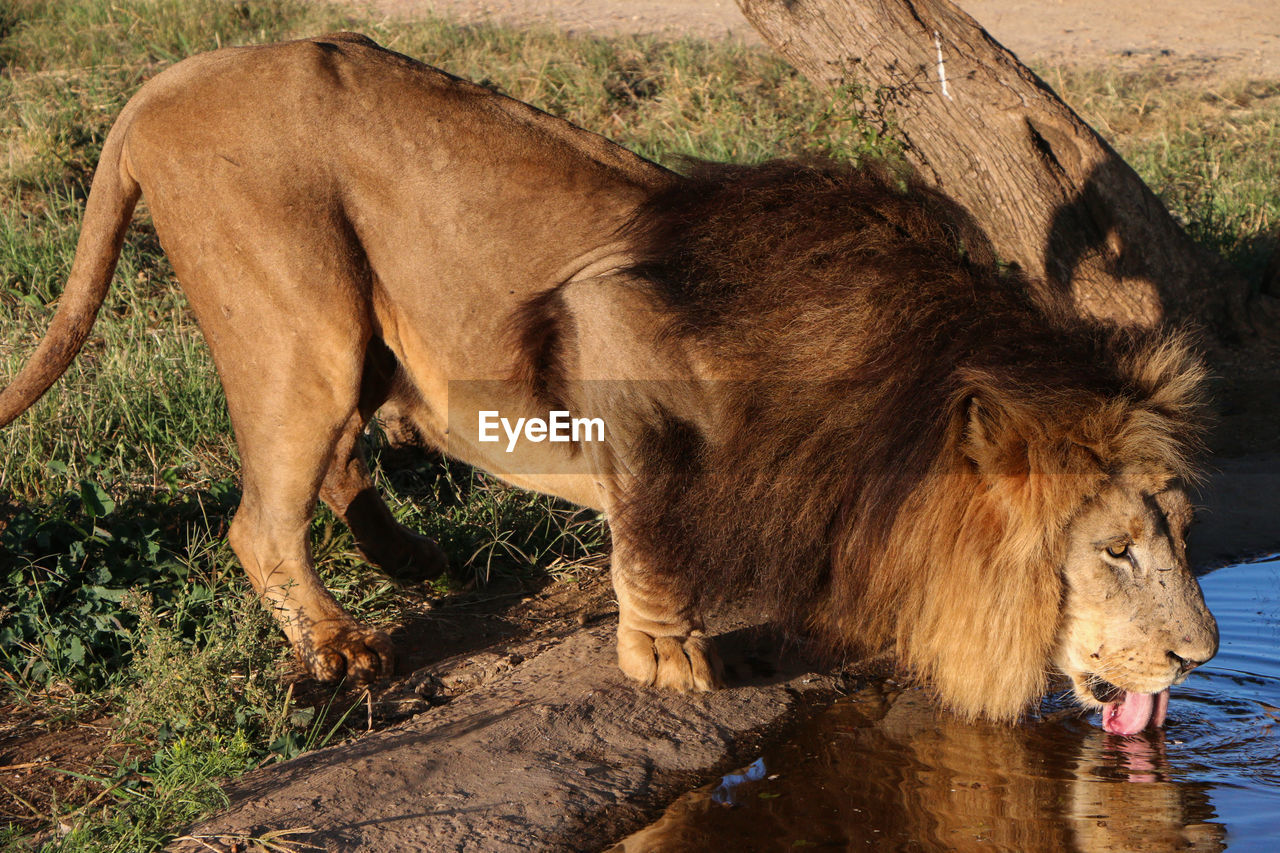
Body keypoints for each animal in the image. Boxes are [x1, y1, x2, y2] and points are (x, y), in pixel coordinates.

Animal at [0, 33, 1213, 732]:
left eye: (1181, 535)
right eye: (1114, 548)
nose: (1198, 655)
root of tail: (158, 86)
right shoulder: (608, 327)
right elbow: (650, 536)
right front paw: (669, 659)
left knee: (337, 460)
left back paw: (417, 557)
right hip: (303, 324)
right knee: (259, 517)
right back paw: (341, 643)